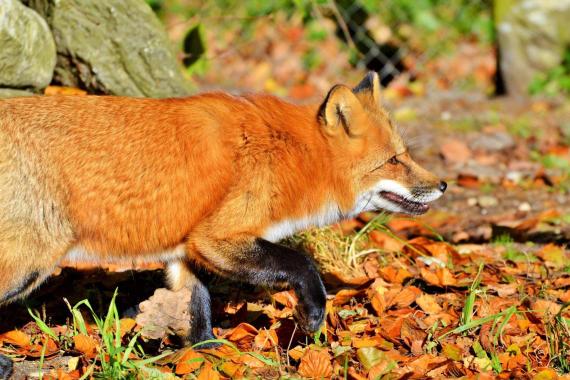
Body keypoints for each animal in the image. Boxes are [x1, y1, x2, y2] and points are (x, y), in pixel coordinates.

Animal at [0, 71, 444, 378]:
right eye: (394, 161)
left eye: (405, 155)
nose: (442, 184)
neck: (288, 154)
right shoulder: (216, 237)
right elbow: (302, 263)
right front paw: (313, 315)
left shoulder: (188, 248)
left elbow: (198, 306)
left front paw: (208, 354)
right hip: (29, 263)